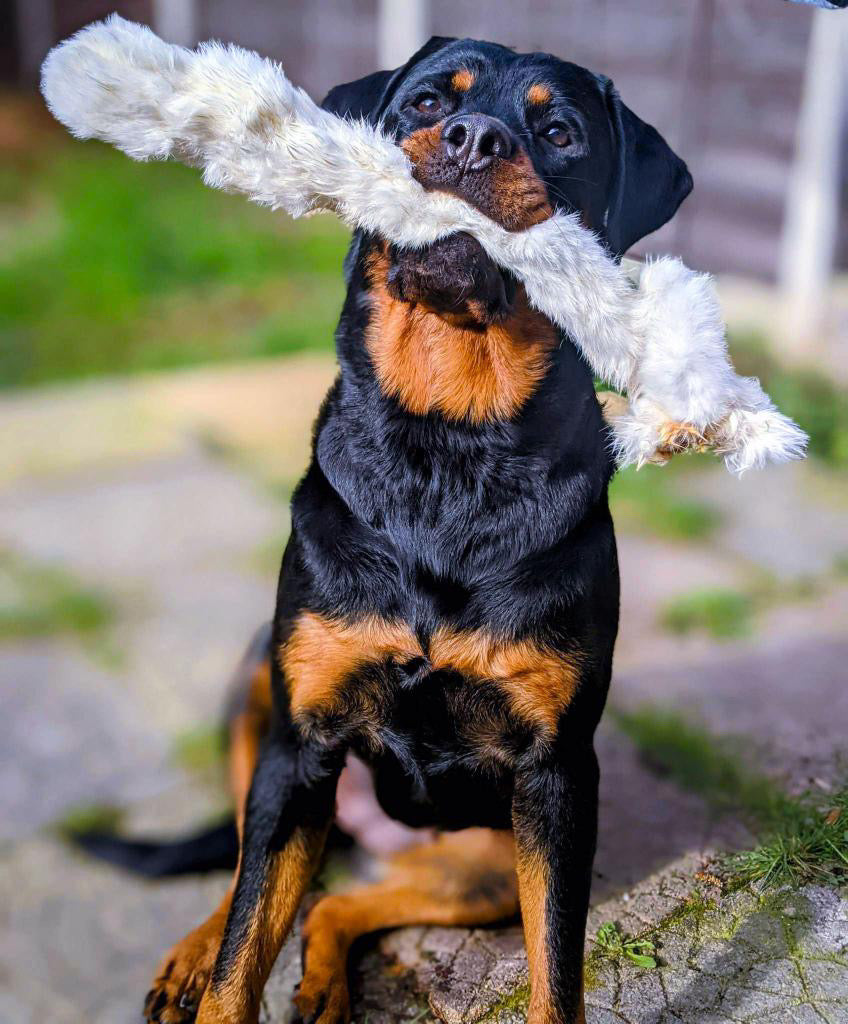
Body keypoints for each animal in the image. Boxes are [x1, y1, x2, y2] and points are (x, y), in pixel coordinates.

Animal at [94, 36, 688, 1024]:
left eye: (559, 132)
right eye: (425, 103)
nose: (477, 137)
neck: (446, 441)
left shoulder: (559, 779)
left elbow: (555, 970)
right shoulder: (300, 743)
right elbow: (244, 947)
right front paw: (215, 972)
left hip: (482, 864)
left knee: (336, 900)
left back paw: (325, 982)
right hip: (259, 692)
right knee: (249, 878)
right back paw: (191, 956)